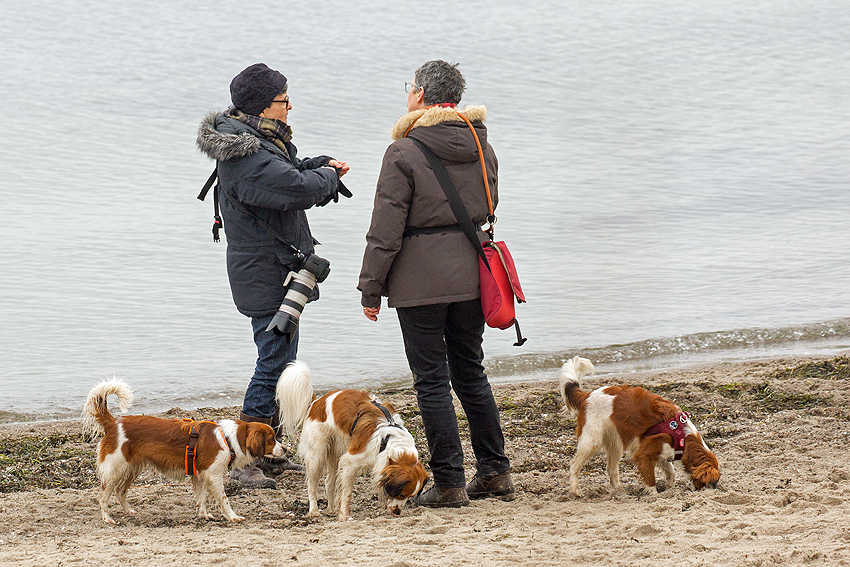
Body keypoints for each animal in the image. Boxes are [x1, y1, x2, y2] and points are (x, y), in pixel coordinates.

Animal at [82, 380, 282, 524]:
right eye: (272, 439)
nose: (285, 448)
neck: (228, 439)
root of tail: (113, 423)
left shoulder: (199, 474)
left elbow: (202, 497)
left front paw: (204, 515)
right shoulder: (214, 476)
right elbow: (224, 499)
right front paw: (232, 516)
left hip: (131, 468)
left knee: (120, 491)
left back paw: (129, 511)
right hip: (115, 469)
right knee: (103, 495)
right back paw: (107, 518)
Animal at [274, 364, 428, 520]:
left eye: (410, 497)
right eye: (401, 494)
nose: (397, 512)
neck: (388, 440)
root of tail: (317, 402)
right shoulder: (350, 461)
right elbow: (347, 493)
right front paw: (344, 515)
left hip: (335, 453)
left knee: (329, 482)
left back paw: (331, 509)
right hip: (317, 454)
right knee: (312, 486)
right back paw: (314, 511)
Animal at [560, 360, 720, 496]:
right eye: (708, 483)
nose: (707, 491)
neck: (682, 436)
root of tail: (587, 395)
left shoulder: (663, 455)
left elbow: (671, 473)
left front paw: (670, 489)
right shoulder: (645, 453)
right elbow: (651, 478)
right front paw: (654, 495)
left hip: (614, 444)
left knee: (611, 469)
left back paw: (619, 491)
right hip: (592, 440)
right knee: (574, 464)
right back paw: (575, 490)